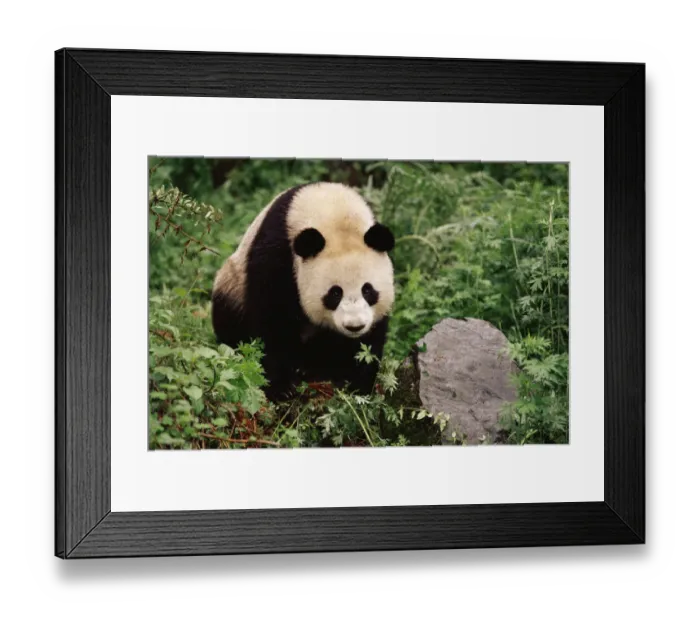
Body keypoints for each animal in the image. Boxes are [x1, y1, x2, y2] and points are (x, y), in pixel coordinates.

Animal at [212, 182, 395, 401]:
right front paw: (281, 388)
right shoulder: (276, 252)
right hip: (232, 285)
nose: (354, 326)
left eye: (368, 290)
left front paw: (357, 384)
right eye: (335, 293)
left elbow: (370, 339)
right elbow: (272, 318)